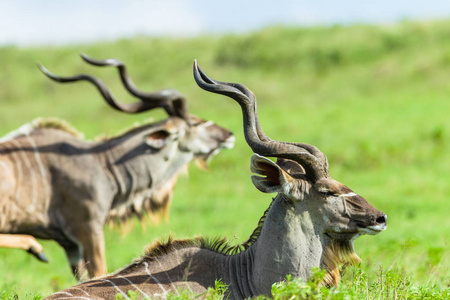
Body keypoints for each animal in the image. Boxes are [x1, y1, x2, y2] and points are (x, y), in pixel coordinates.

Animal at [0, 55, 234, 280]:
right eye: (195, 123)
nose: (229, 134)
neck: (102, 163)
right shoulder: (88, 228)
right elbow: (99, 272)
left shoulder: (70, 246)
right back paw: (35, 248)